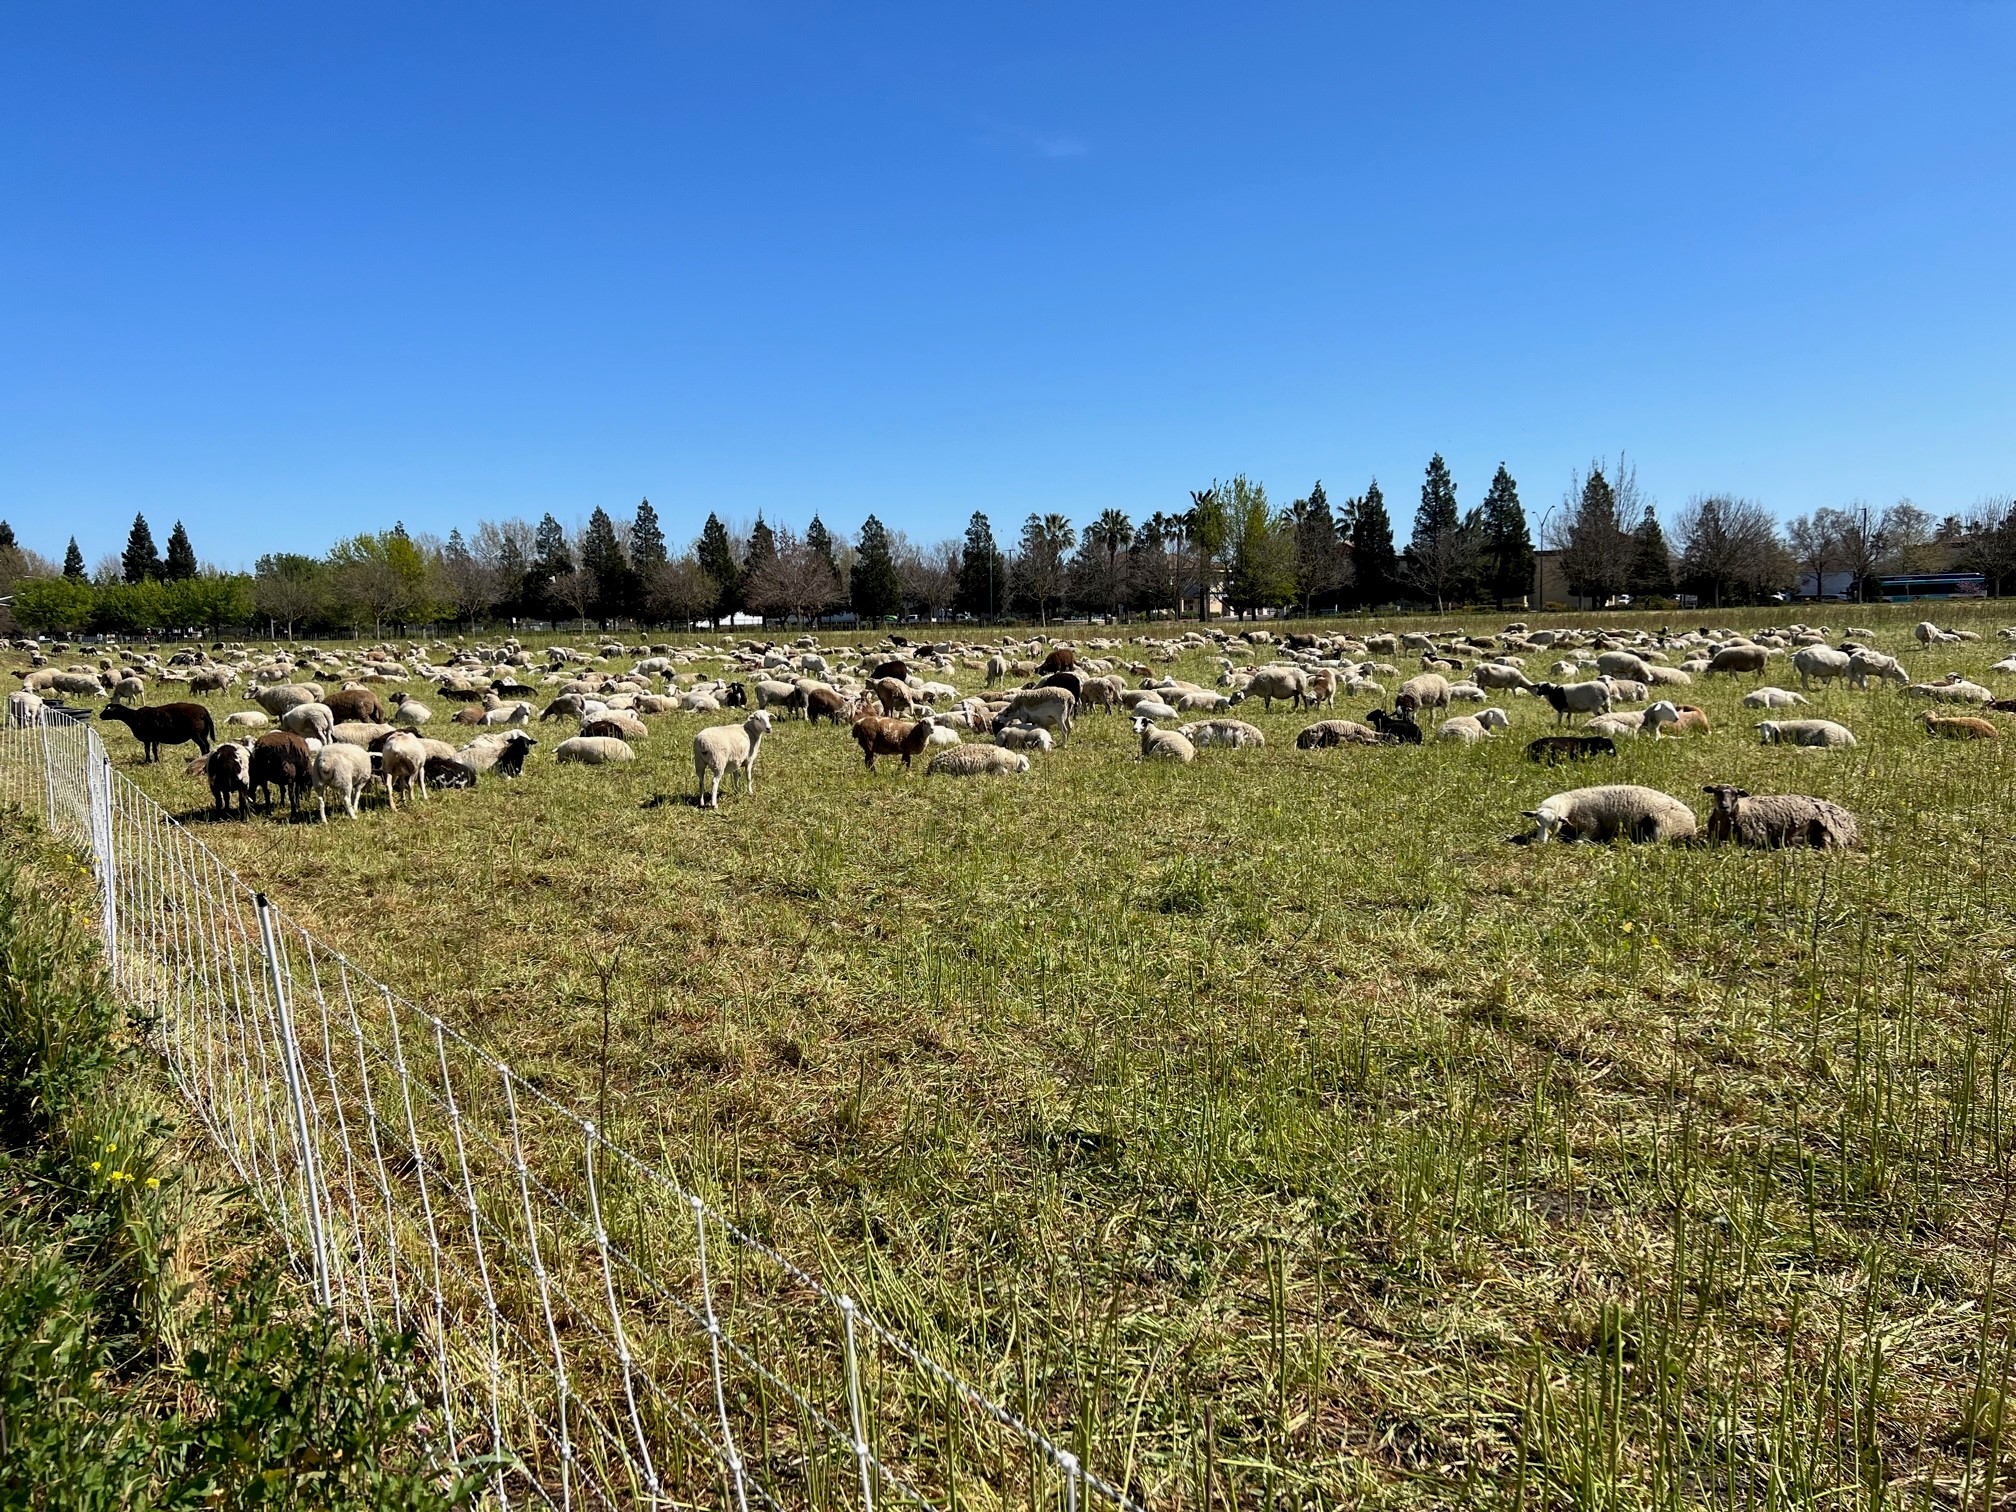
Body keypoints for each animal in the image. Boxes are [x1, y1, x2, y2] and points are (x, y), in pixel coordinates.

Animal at [1520, 784, 1698, 844]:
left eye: (1554, 822)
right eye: (1537, 821)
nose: (1540, 842)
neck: (1572, 805)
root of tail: (1692, 822)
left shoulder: (1593, 826)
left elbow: (1579, 842)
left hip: (1664, 825)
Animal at [1702, 785, 1860, 850]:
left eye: (1735, 794)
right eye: (1716, 792)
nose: (1724, 806)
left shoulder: (1754, 838)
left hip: (1830, 829)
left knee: (1827, 845)